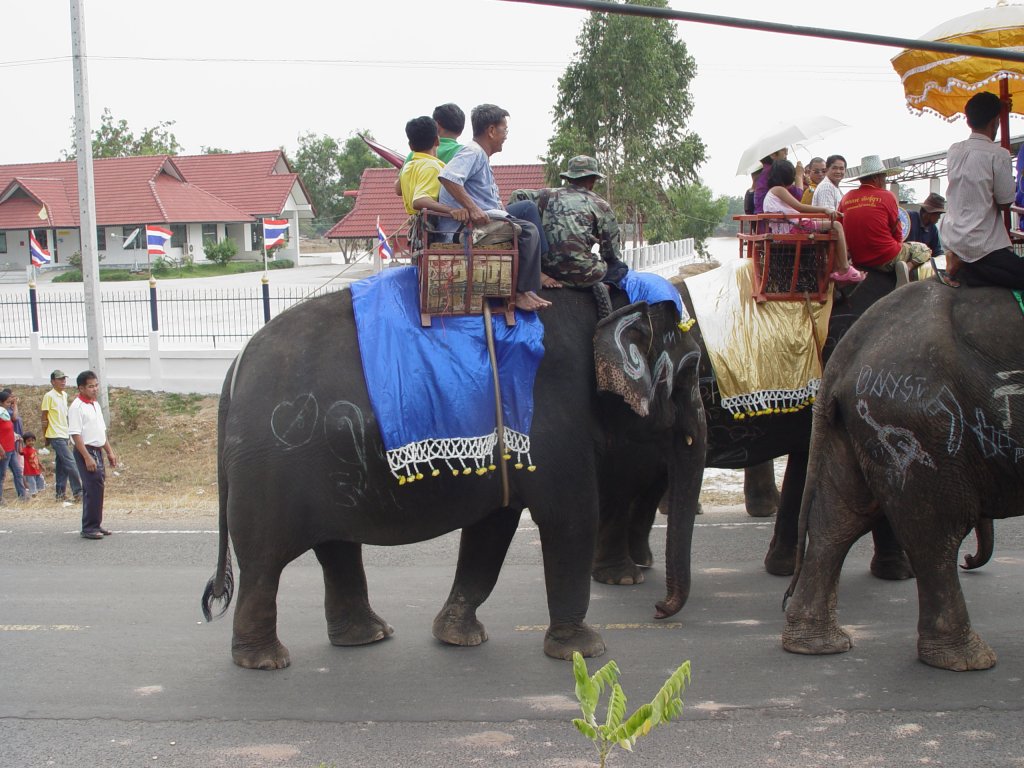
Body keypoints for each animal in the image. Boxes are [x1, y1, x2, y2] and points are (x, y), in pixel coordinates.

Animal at [203, 280, 708, 671]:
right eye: (689, 373)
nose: (659, 611)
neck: (604, 300)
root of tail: (232, 372)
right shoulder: (554, 419)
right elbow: (570, 518)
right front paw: (584, 651)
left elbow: (491, 531)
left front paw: (456, 636)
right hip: (268, 475)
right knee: (264, 563)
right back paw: (265, 661)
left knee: (335, 548)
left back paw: (367, 636)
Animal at [782, 282, 1024, 671]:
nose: (970, 562)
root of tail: (846, 355)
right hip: (916, 420)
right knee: (936, 530)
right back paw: (967, 660)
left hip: (855, 425)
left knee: (839, 520)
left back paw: (815, 645)